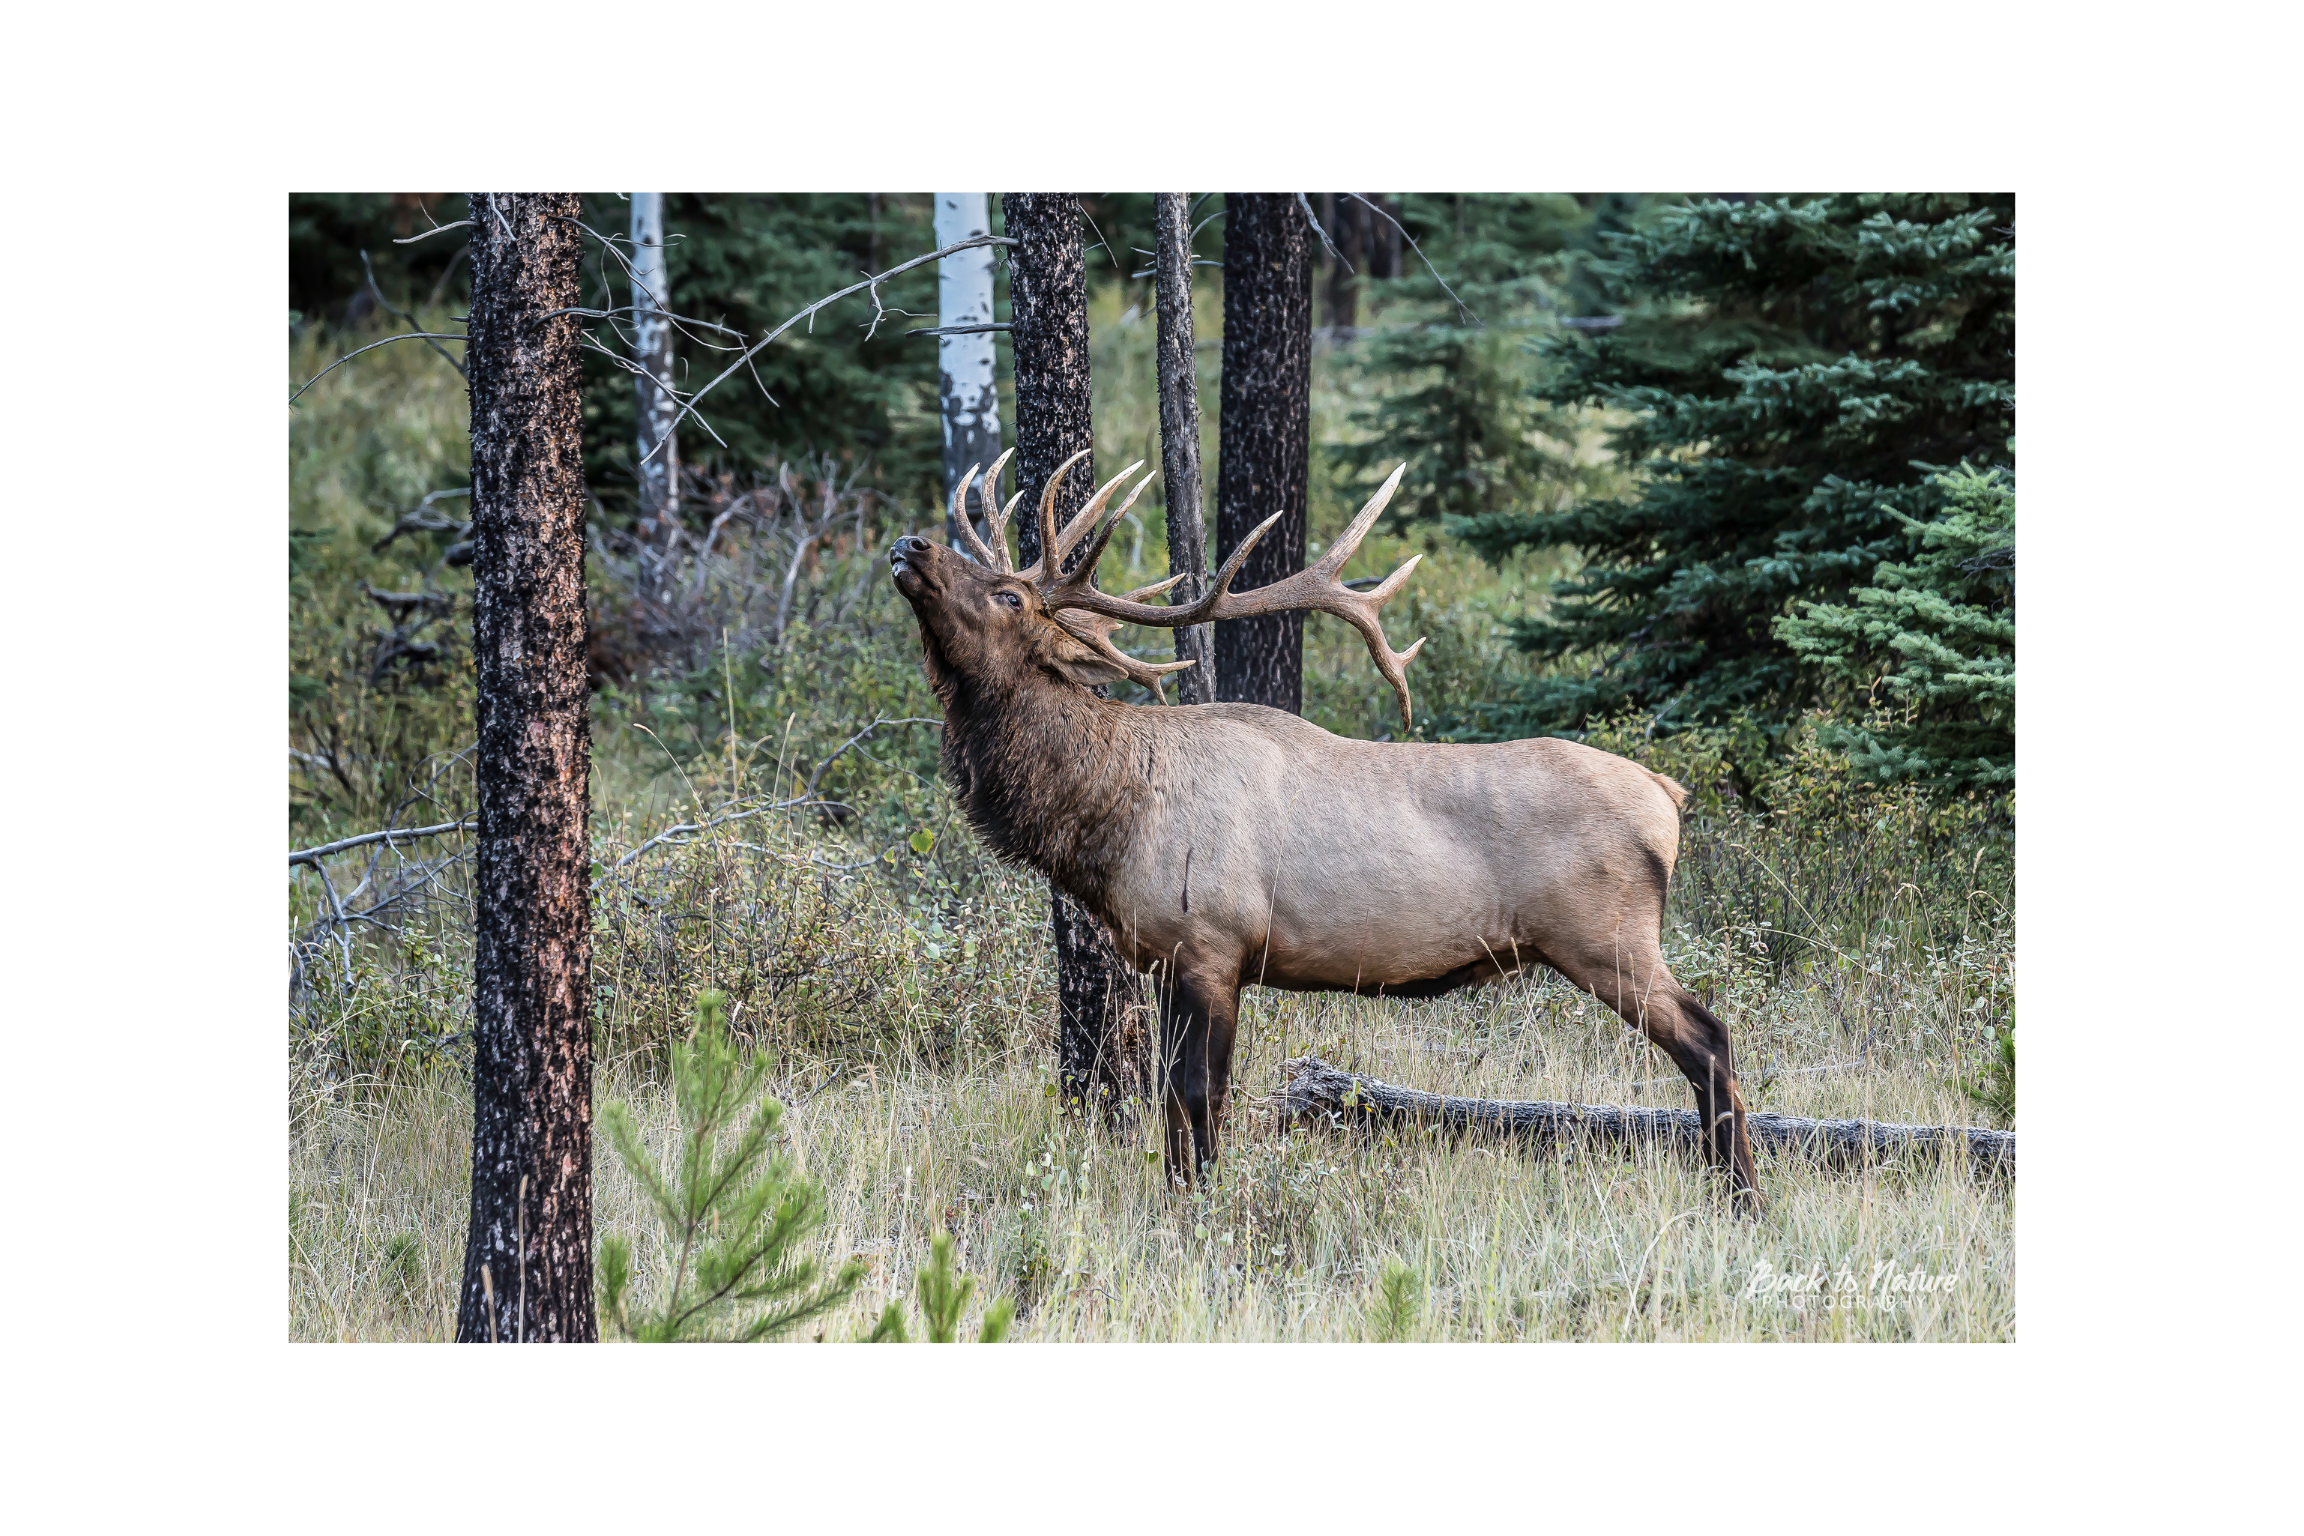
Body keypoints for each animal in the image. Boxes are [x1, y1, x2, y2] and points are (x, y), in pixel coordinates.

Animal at [889, 451, 1751, 1206]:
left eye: (1012, 597)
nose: (911, 544)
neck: (1111, 815)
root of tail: (1669, 794)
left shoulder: (1214, 945)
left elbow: (1201, 1097)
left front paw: (1203, 1210)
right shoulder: (1168, 959)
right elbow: (1170, 1104)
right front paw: (1174, 1201)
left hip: (1605, 937)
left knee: (1709, 1037)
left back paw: (1741, 1199)